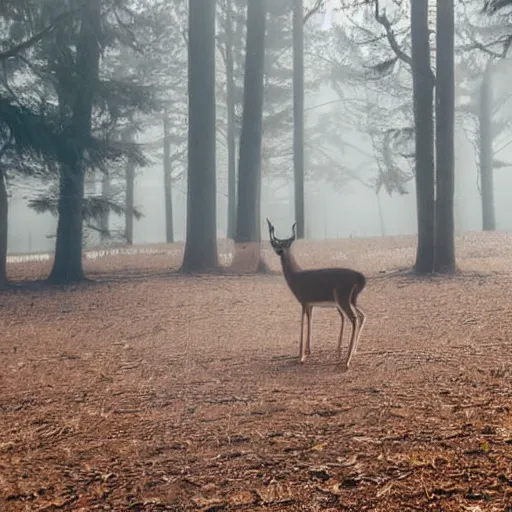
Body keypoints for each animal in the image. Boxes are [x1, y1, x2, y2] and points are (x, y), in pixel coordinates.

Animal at [266, 218, 366, 370]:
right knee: (362, 315)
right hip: (352, 300)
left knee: (354, 318)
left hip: (343, 298)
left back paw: (347, 361)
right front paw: (308, 351)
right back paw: (352, 352)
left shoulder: (303, 301)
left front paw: (301, 357)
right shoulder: (311, 304)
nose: (279, 251)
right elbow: (310, 321)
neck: (295, 277)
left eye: (285, 245)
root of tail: (360, 278)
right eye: (276, 244)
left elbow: (302, 324)